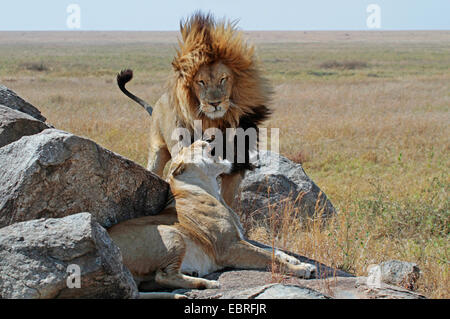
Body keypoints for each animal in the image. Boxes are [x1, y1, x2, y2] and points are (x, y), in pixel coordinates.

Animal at [107, 141, 316, 298]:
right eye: (193, 146)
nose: (205, 139)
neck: (211, 189)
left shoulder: (240, 238)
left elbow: (272, 249)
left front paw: (297, 260)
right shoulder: (229, 247)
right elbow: (268, 256)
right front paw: (301, 269)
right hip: (171, 233)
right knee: (163, 276)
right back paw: (208, 284)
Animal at [117, 11, 270, 205]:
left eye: (223, 79)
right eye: (201, 82)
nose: (215, 103)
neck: (216, 124)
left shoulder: (236, 168)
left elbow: (227, 201)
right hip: (157, 152)